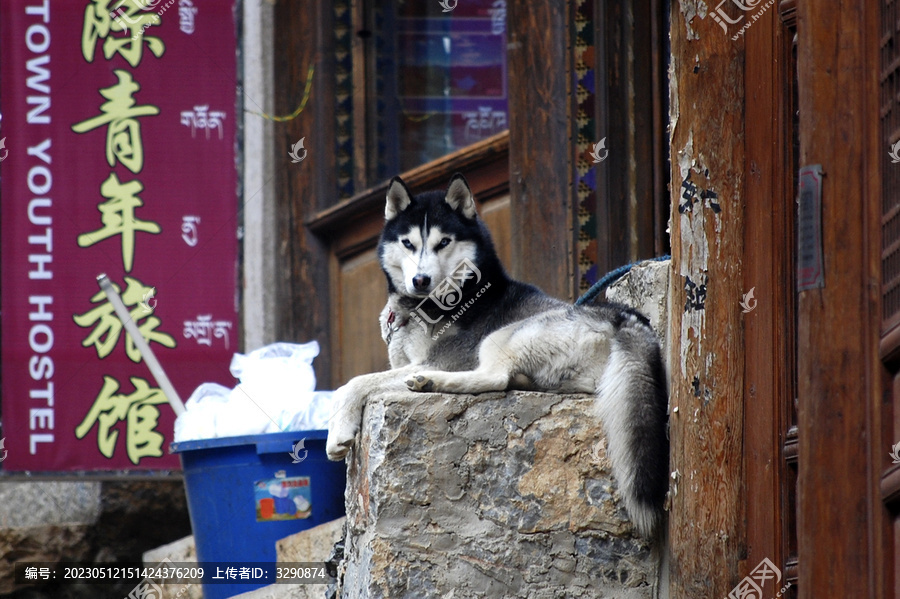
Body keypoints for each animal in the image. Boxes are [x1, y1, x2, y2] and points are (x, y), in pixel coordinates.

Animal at [330, 175, 668, 540]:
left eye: (444, 242)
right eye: (407, 243)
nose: (421, 280)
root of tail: (623, 316)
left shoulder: (439, 359)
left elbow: (354, 383)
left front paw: (338, 432)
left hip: (500, 337)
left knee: (494, 377)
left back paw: (430, 382)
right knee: (511, 379)